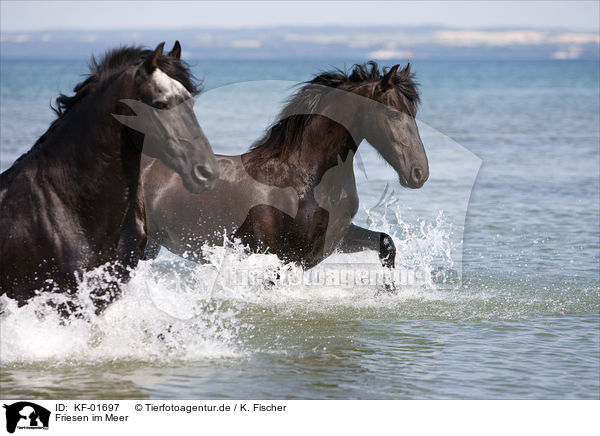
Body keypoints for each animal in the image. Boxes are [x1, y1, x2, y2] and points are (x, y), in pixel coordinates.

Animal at [143, 61, 428, 270]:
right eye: (391, 113)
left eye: (414, 113)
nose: (420, 173)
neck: (305, 179)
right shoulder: (284, 254)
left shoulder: (337, 237)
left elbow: (386, 243)